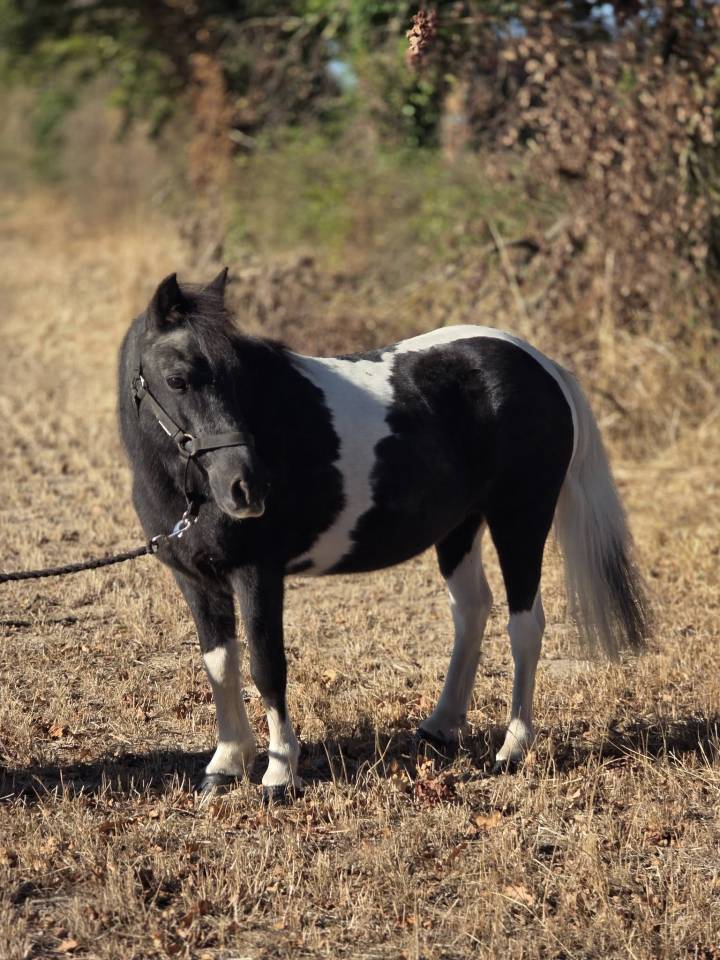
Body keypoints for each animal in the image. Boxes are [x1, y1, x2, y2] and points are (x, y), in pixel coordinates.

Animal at [118, 269, 649, 801]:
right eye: (177, 379)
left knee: (525, 626)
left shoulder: (257, 575)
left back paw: (512, 749)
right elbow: (220, 664)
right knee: (472, 609)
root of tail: (542, 365)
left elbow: (267, 667)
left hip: (521, 520)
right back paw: (440, 726)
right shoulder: (197, 580)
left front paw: (279, 774)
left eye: (238, 378)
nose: (246, 488)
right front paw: (226, 764)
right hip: (460, 527)